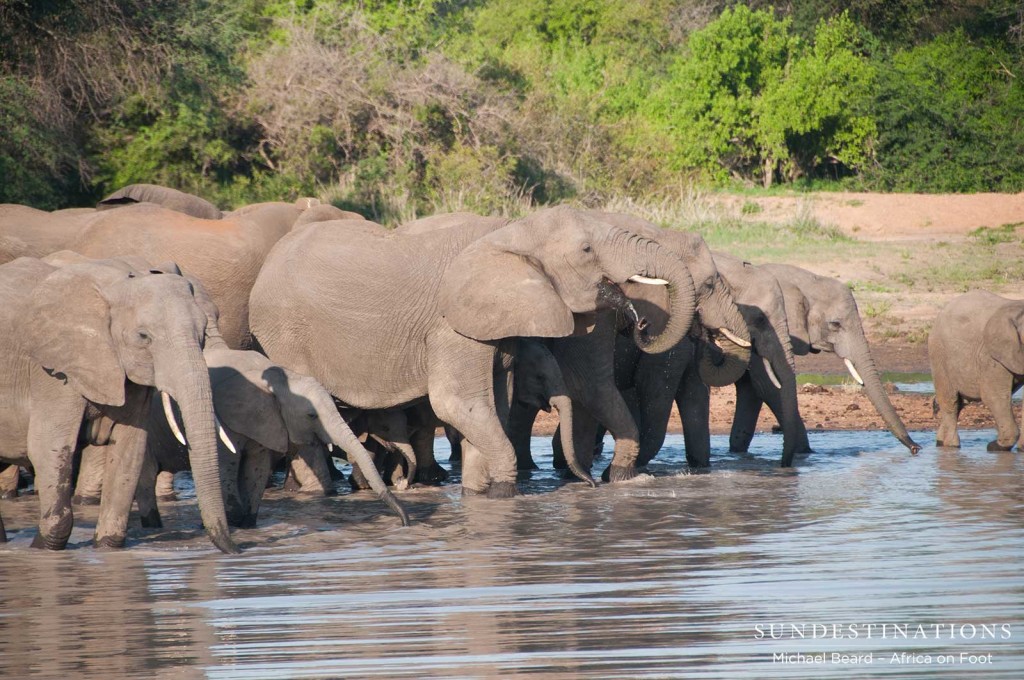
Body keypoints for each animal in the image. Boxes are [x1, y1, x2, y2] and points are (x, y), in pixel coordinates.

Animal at [0, 255, 235, 553]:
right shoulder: (53, 372)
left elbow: (129, 449)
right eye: (144, 336)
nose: (236, 550)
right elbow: (48, 446)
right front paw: (44, 549)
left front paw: (107, 548)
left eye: (203, 332)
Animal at [248, 204, 700, 497]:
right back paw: (316, 495)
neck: (509, 231)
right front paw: (502, 492)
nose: (640, 325)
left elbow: (494, 405)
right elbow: (457, 403)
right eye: (587, 250)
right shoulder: (450, 325)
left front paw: (480, 495)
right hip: (283, 332)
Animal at [929, 288, 1024, 450]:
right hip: (939, 354)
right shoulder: (991, 355)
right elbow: (993, 396)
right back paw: (950, 445)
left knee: (960, 403)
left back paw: (941, 442)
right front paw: (994, 447)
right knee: (950, 401)